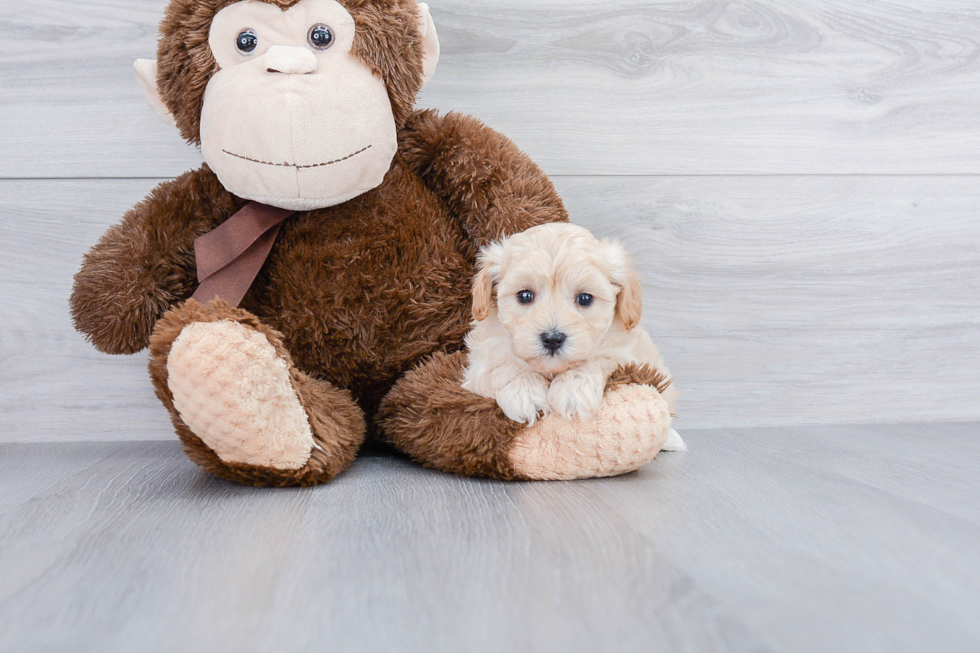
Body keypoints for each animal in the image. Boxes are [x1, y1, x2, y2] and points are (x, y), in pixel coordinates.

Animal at [462, 222, 684, 450]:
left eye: (585, 298)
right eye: (524, 295)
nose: (552, 338)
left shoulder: (625, 353)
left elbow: (598, 359)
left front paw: (572, 389)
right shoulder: (480, 362)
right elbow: (502, 366)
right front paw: (524, 392)